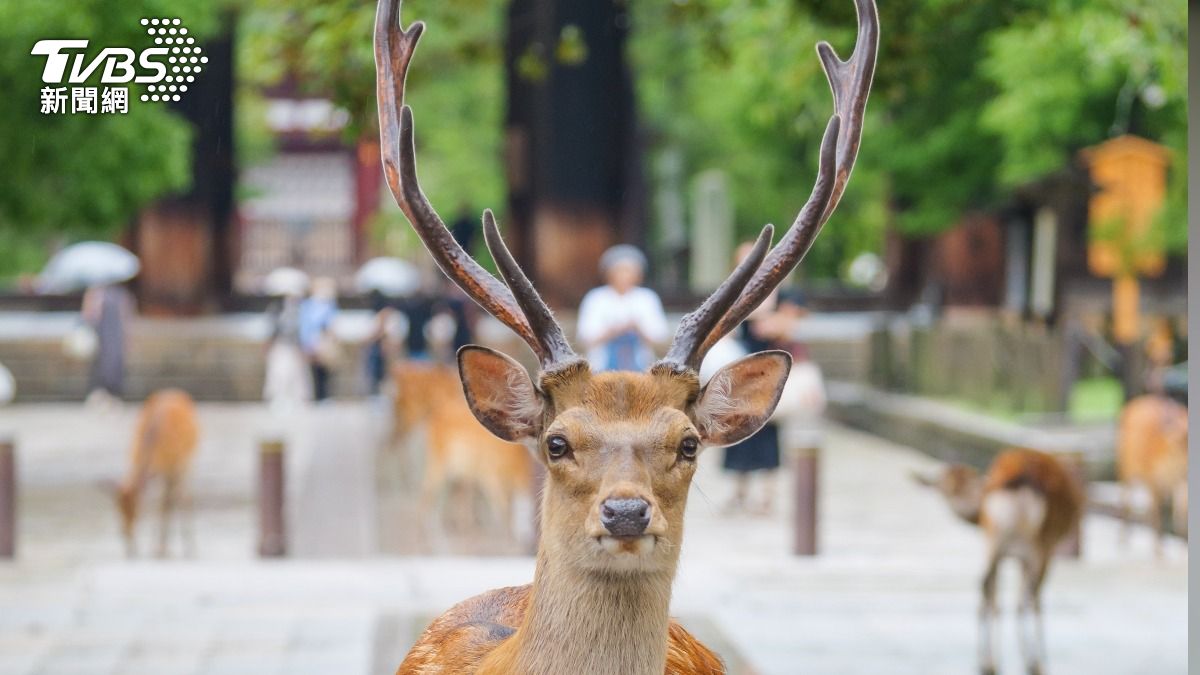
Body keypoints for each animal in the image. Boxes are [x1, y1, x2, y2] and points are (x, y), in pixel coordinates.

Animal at [111, 386, 200, 554]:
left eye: (136, 511)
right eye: (118, 509)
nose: (126, 533)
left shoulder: (172, 466)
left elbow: (157, 502)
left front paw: (155, 548)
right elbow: (159, 501)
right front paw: (156, 546)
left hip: (187, 462)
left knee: (183, 496)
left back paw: (188, 546)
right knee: (170, 498)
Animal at [916, 446, 1089, 672]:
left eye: (963, 482)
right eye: (943, 485)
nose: (957, 504)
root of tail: (1022, 478)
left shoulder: (1010, 553)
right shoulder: (1041, 551)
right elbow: (1028, 600)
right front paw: (1038, 656)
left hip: (996, 542)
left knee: (986, 584)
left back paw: (987, 660)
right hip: (1038, 545)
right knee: (1029, 594)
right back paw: (1029, 659)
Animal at [1118, 391, 1185, 550]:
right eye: (1180, 441)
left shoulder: (1180, 482)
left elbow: (1179, 516)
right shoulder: (1152, 478)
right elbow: (1157, 513)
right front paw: (1158, 550)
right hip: (1126, 468)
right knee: (1126, 499)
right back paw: (1123, 537)